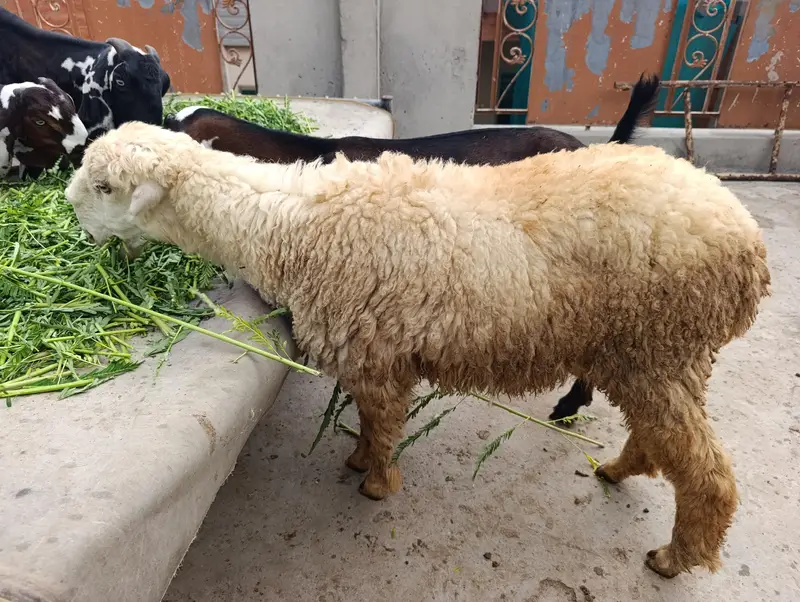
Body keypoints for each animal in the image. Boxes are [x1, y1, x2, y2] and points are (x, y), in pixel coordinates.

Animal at [65, 121, 771, 579]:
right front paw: (356, 459)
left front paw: (374, 484)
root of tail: (748, 246)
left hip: (658, 344)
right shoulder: (370, 350)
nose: (72, 222)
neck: (283, 224)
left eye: (104, 187)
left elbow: (381, 424)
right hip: (658, 354)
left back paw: (675, 557)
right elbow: (365, 419)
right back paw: (621, 469)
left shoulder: (376, 355)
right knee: (666, 438)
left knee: (709, 471)